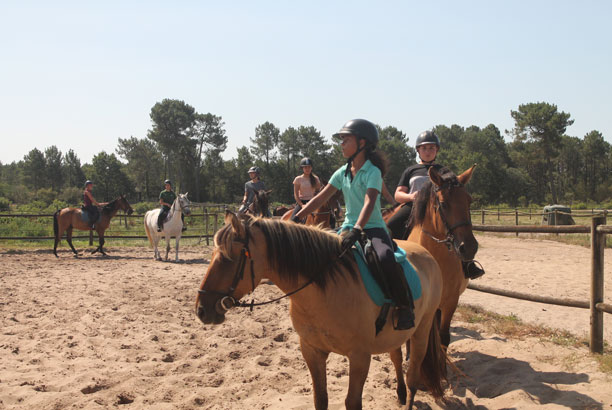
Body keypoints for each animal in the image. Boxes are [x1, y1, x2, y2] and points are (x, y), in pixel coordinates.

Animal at [198, 213, 448, 408]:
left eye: (228, 259)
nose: (201, 310)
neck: (325, 290)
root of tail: (427, 254)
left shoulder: (359, 357)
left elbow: (352, 402)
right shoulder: (312, 351)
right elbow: (321, 399)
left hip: (422, 329)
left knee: (413, 375)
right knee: (396, 357)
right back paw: (400, 393)